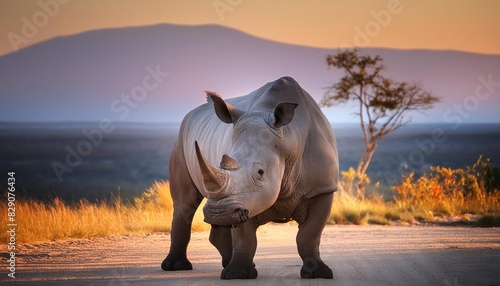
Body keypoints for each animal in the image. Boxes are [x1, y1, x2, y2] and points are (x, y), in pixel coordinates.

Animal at [162, 76, 338, 280]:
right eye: (221, 163)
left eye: (260, 172)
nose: (218, 213)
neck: (288, 138)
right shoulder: (242, 198)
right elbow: (245, 237)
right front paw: (237, 273)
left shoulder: (322, 188)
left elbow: (310, 235)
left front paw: (319, 273)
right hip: (181, 138)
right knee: (185, 202)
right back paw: (177, 266)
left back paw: (223, 261)